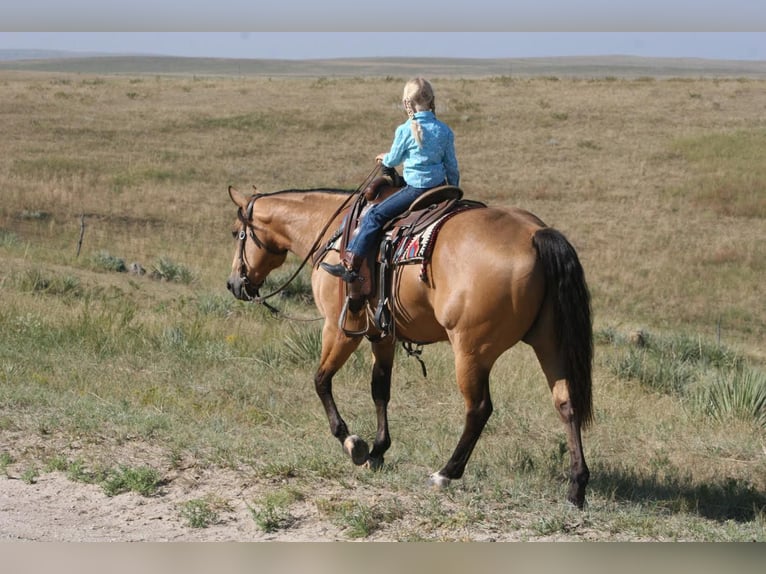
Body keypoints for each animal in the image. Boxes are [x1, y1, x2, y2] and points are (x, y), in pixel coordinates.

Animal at [225, 180, 596, 508]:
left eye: (236, 232)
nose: (233, 284)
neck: (334, 232)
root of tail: (534, 234)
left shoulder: (340, 328)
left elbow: (321, 380)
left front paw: (352, 443)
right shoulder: (382, 335)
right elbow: (380, 390)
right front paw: (377, 451)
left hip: (471, 350)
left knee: (479, 409)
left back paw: (445, 473)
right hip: (550, 343)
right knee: (566, 403)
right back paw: (576, 487)